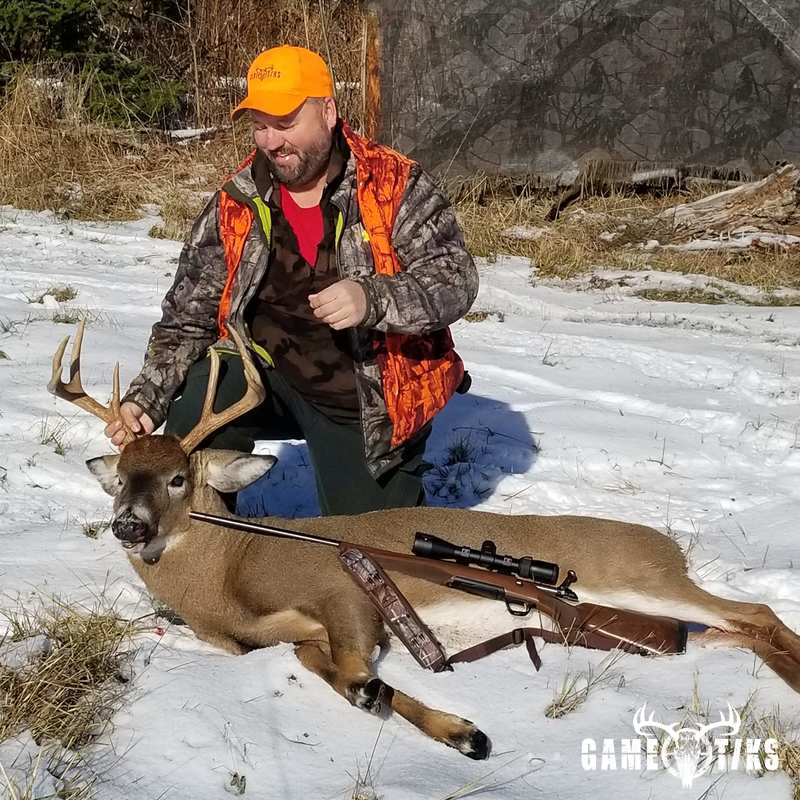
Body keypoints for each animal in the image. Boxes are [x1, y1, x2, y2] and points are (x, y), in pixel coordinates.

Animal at [49, 322, 800, 759]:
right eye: (119, 480)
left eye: (178, 478)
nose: (128, 524)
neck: (227, 577)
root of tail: (666, 545)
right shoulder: (298, 633)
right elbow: (334, 672)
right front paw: (464, 733)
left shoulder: (340, 590)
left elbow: (355, 671)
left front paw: (444, 721)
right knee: (729, 631)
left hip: (643, 578)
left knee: (756, 612)